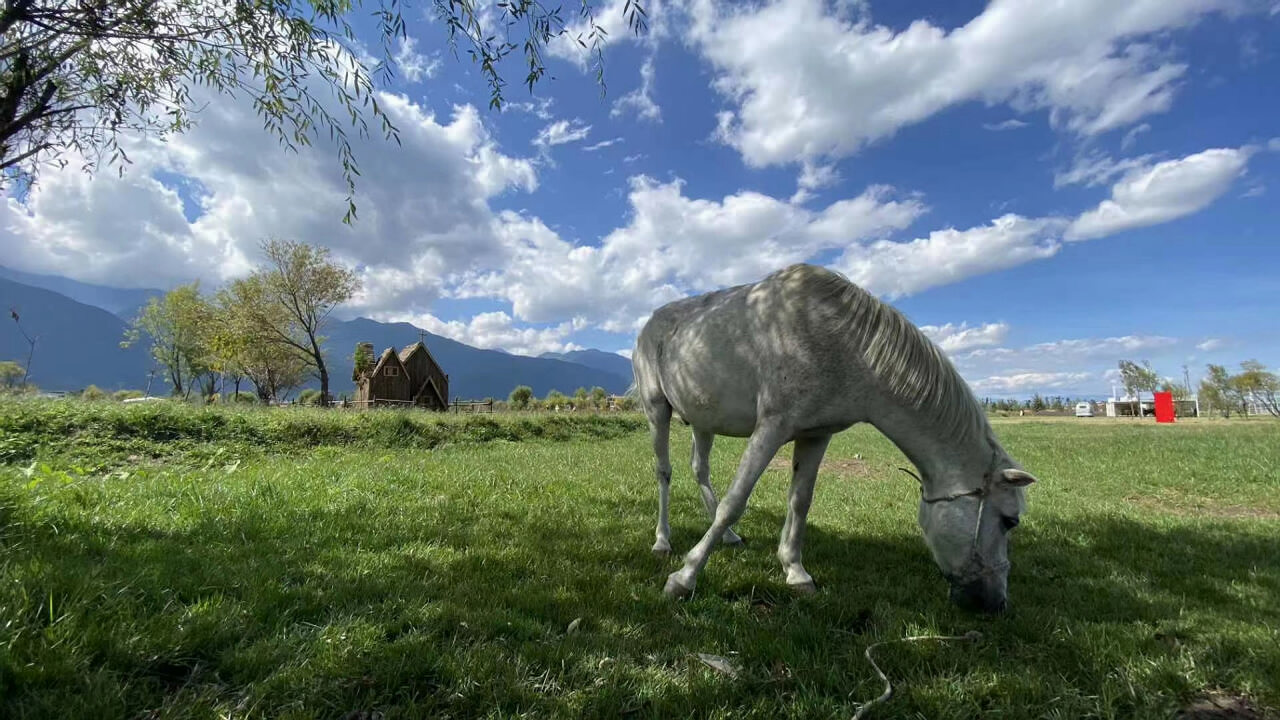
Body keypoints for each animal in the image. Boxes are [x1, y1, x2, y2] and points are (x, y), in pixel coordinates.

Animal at [634, 263, 1034, 609]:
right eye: (1009, 521)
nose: (996, 603)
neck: (846, 343)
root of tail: (649, 324)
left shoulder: (816, 435)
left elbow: (800, 501)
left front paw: (796, 573)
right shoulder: (772, 426)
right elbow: (735, 502)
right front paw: (684, 577)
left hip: (703, 421)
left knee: (699, 469)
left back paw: (729, 538)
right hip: (658, 411)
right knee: (664, 472)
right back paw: (662, 541)